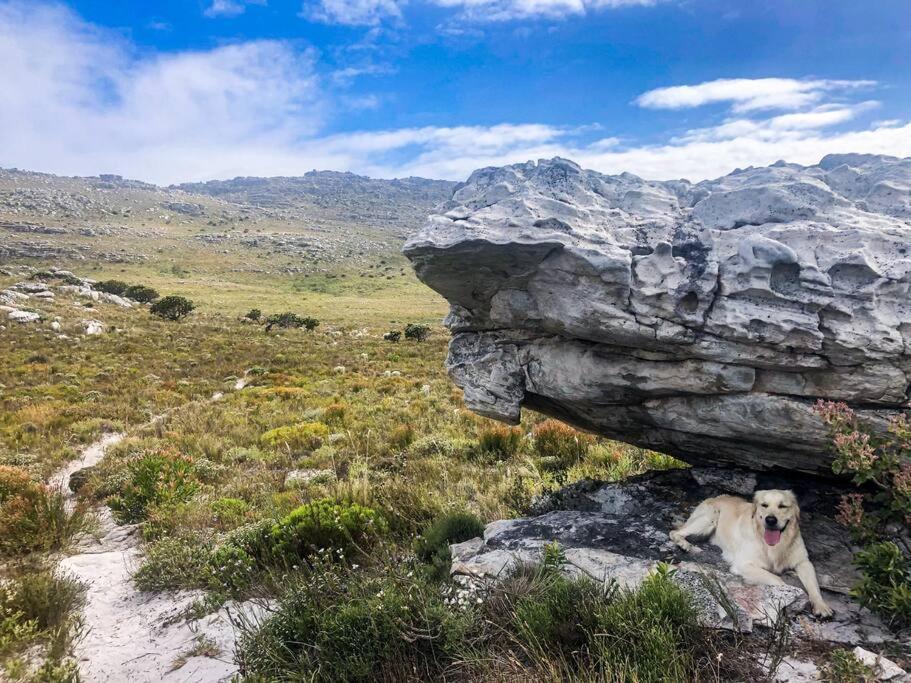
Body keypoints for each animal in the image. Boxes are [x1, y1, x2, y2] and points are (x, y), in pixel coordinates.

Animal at [668, 488, 832, 616]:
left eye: (782, 506)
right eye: (764, 505)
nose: (770, 520)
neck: (774, 545)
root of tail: (715, 497)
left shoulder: (804, 562)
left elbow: (814, 585)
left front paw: (821, 606)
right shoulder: (743, 565)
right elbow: (778, 580)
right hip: (710, 518)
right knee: (675, 532)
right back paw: (684, 544)